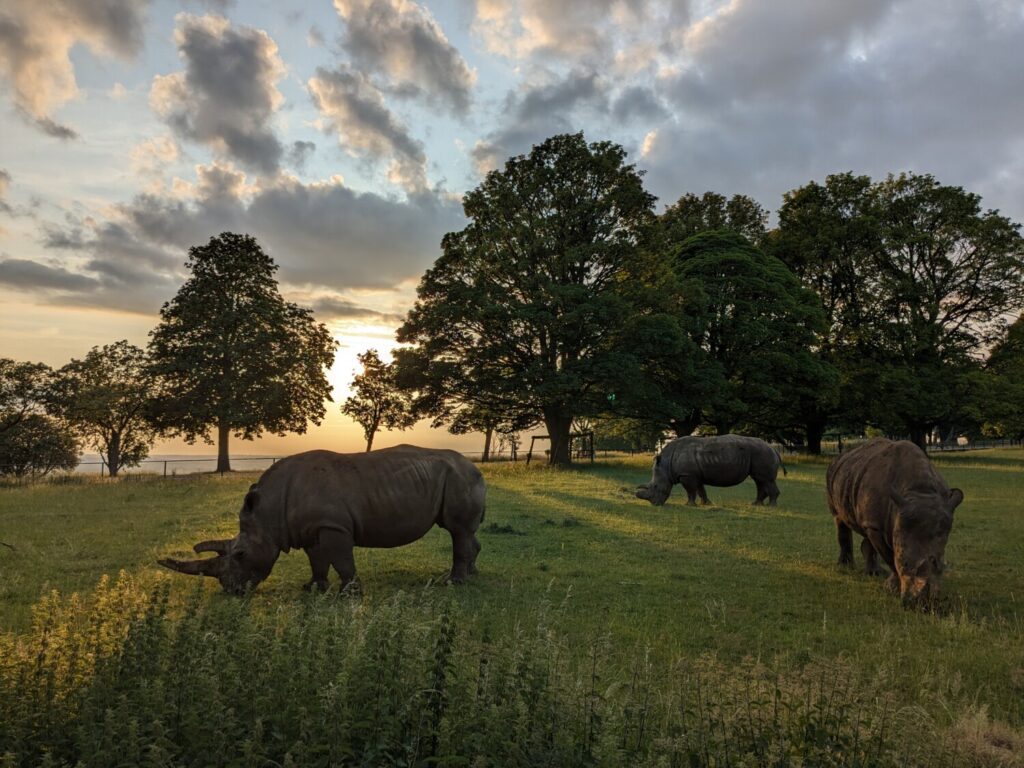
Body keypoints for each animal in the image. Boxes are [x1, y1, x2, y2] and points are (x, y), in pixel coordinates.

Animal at [158, 446, 486, 594]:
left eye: (239, 554)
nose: (232, 591)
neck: (269, 511)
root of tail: (476, 468)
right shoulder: (308, 528)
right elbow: (317, 560)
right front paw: (313, 588)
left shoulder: (333, 526)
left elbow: (341, 560)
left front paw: (349, 593)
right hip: (458, 477)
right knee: (467, 533)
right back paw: (472, 575)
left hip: (460, 477)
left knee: (457, 530)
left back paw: (454, 582)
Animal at [635, 434, 786, 507]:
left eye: (655, 486)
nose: (655, 504)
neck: (666, 465)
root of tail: (774, 449)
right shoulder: (694, 475)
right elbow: (700, 490)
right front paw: (706, 503)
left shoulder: (687, 475)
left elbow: (691, 491)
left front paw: (689, 505)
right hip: (759, 454)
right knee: (759, 480)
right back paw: (756, 505)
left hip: (762, 453)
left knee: (766, 480)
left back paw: (771, 506)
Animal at [827, 437, 962, 603]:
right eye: (904, 563)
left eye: (942, 565)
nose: (923, 601)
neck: (919, 492)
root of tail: (841, 456)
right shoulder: (877, 527)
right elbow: (891, 559)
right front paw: (891, 588)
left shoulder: (880, 522)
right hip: (833, 475)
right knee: (839, 519)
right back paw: (845, 566)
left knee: (865, 530)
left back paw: (874, 573)